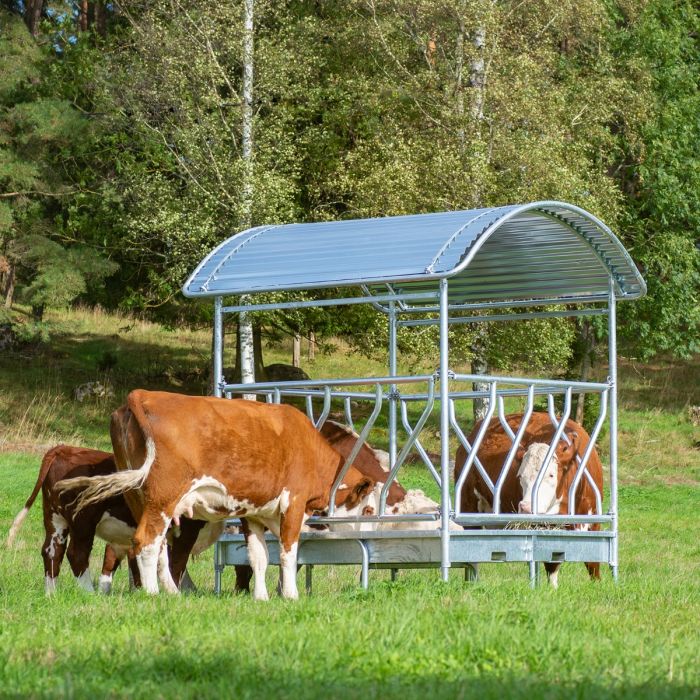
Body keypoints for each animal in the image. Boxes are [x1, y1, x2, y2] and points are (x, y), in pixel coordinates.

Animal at [58, 392, 378, 600]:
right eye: (369, 510)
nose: (371, 541)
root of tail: (142, 395)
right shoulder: (294, 504)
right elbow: (288, 553)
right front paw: (291, 595)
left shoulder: (253, 513)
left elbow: (259, 557)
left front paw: (261, 598)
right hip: (162, 497)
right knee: (145, 542)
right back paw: (152, 593)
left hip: (139, 498)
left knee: (158, 545)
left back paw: (172, 591)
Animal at [456, 412, 604, 588]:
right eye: (520, 476)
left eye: (551, 475)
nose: (526, 507)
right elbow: (552, 563)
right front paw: (552, 589)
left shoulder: (594, 521)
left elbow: (593, 562)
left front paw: (598, 585)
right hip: (468, 508)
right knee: (472, 555)